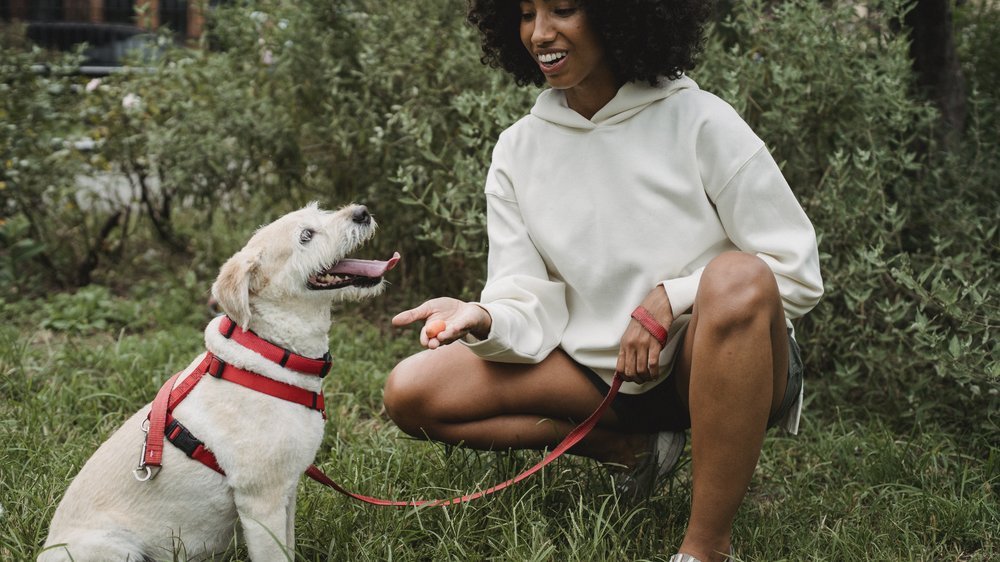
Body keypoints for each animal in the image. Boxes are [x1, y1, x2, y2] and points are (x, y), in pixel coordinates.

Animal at [40, 202, 398, 560]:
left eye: (321, 211)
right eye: (306, 236)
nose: (362, 212)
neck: (271, 352)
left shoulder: (288, 492)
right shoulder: (261, 502)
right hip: (114, 547)